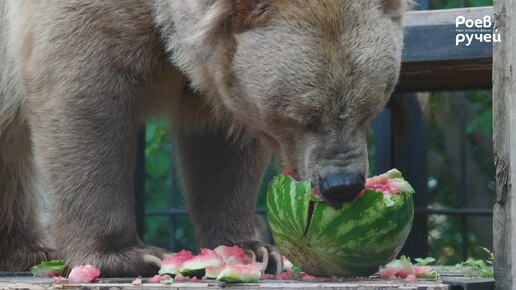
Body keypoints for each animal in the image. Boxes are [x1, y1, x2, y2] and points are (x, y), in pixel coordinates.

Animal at [0, 0, 412, 276]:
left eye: (371, 106)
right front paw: (125, 255)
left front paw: (253, 248)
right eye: (303, 116)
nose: (342, 185)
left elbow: (219, 147)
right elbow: (85, 99)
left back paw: (23, 249)